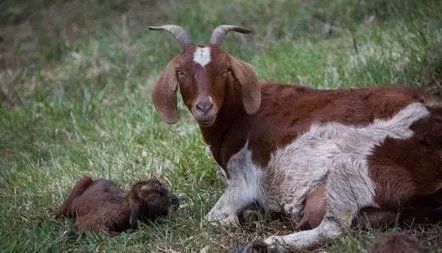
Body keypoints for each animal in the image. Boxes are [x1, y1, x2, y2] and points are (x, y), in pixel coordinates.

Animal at [149, 24, 442, 250]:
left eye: (224, 69)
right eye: (181, 72)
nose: (204, 107)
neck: (239, 113)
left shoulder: (243, 178)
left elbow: (213, 217)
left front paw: (240, 219)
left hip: (355, 166)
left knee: (333, 227)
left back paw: (272, 243)